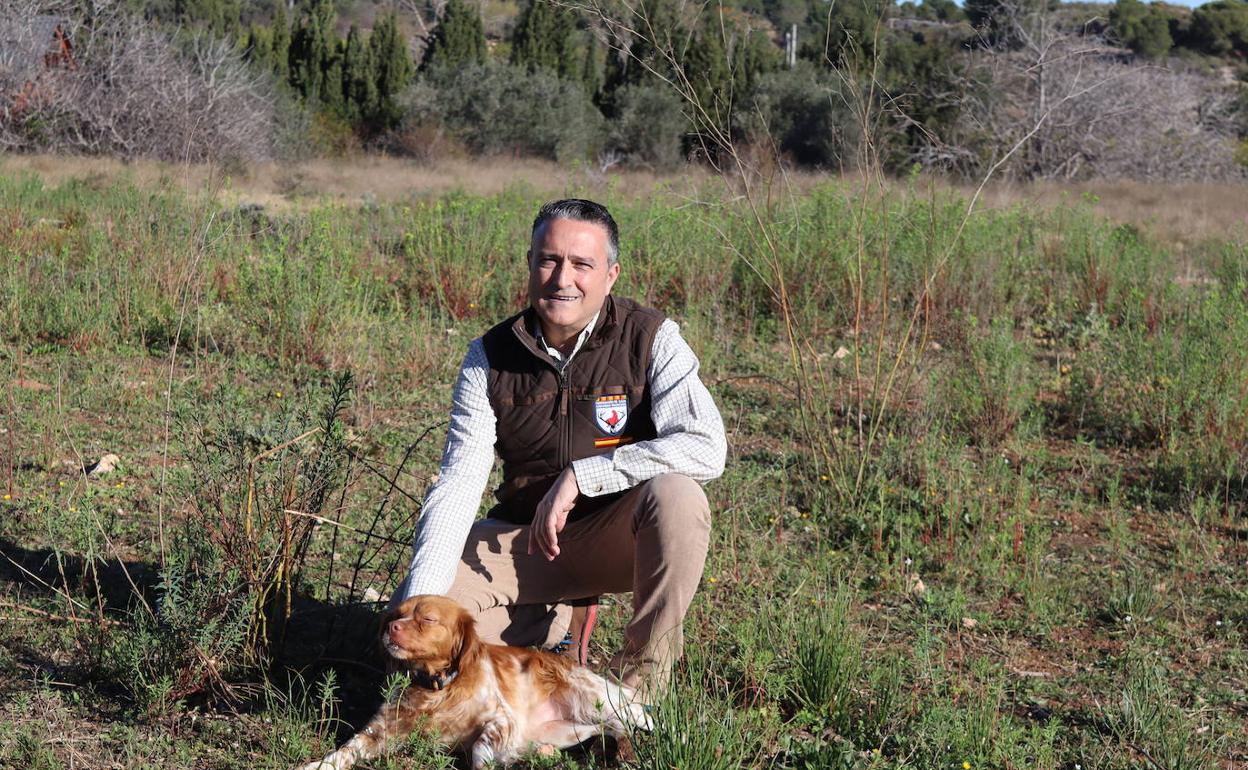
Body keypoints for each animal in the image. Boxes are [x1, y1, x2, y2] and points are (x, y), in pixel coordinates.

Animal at [288, 594, 648, 768]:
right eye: (396, 615)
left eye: (427, 618)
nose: (390, 627)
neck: (436, 690)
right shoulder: (378, 733)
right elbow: (342, 752)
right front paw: (315, 766)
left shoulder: (502, 719)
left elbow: (479, 747)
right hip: (573, 727)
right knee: (614, 730)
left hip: (596, 701)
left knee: (641, 718)